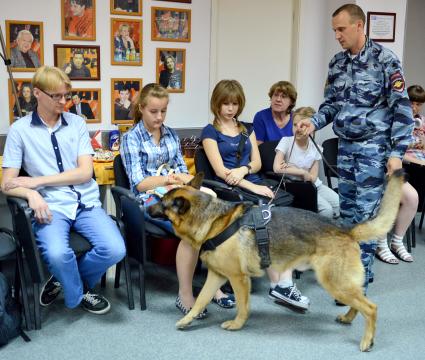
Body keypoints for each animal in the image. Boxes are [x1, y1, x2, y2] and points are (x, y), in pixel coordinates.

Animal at [149, 170, 404, 350]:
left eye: (162, 202)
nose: (147, 205)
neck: (213, 221)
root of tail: (346, 229)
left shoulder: (238, 279)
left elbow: (242, 306)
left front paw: (237, 324)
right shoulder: (217, 276)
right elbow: (200, 301)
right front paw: (187, 320)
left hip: (335, 283)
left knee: (371, 308)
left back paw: (367, 340)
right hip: (341, 284)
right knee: (361, 299)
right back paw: (348, 318)